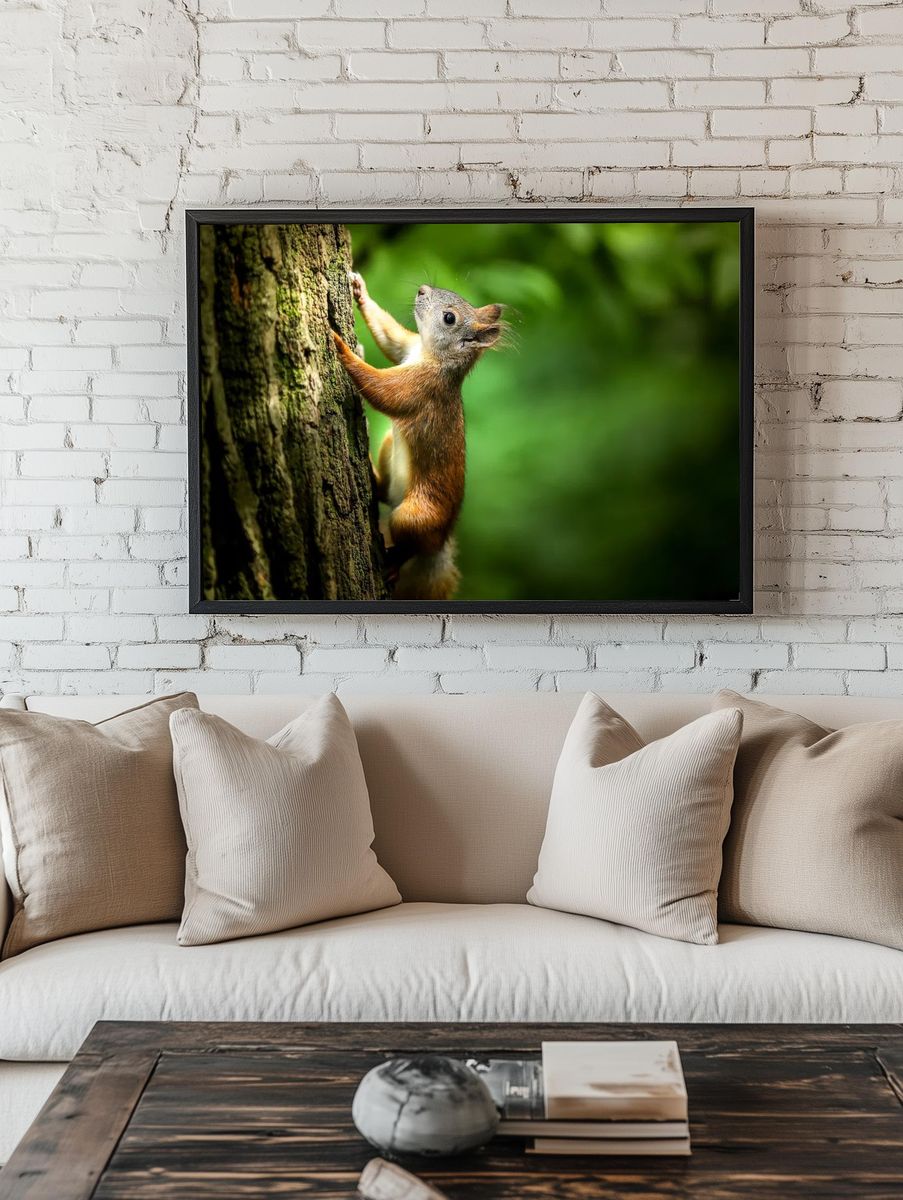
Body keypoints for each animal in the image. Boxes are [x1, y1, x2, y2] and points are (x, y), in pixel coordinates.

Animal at [332, 272, 504, 602]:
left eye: (449, 318)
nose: (422, 290)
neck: (430, 354)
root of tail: (440, 542)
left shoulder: (422, 387)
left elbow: (382, 390)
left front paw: (340, 348)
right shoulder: (407, 348)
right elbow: (391, 339)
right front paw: (360, 291)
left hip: (415, 516)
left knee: (410, 545)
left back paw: (394, 563)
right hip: (389, 447)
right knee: (385, 492)